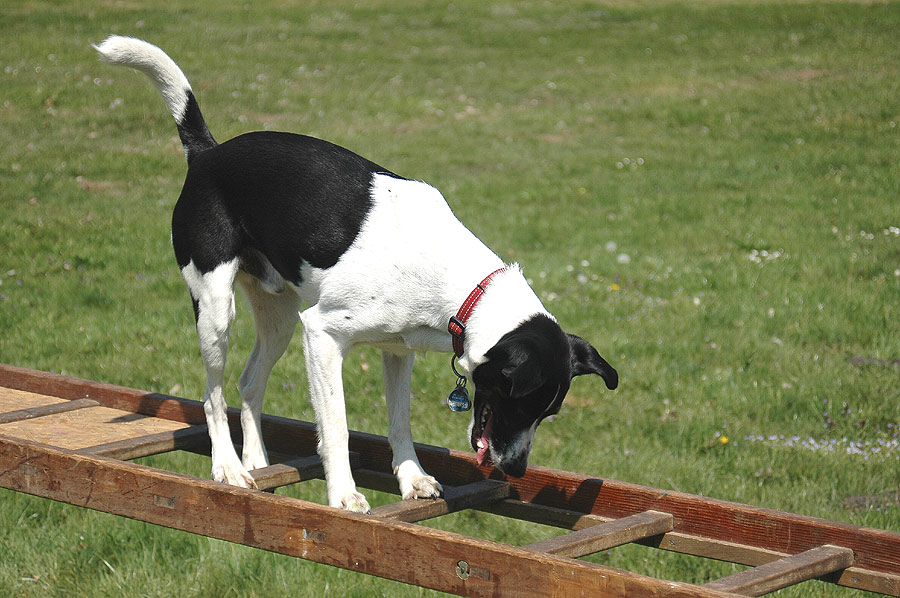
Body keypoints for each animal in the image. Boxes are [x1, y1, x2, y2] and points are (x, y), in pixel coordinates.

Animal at [95, 37, 616, 512]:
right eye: (522, 403)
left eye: (548, 412)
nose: (517, 470)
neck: (464, 292)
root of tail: (208, 152)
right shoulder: (322, 335)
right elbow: (337, 427)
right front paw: (343, 493)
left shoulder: (398, 350)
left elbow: (400, 422)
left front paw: (412, 479)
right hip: (217, 309)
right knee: (213, 395)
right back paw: (227, 466)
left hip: (279, 319)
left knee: (248, 383)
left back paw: (256, 459)